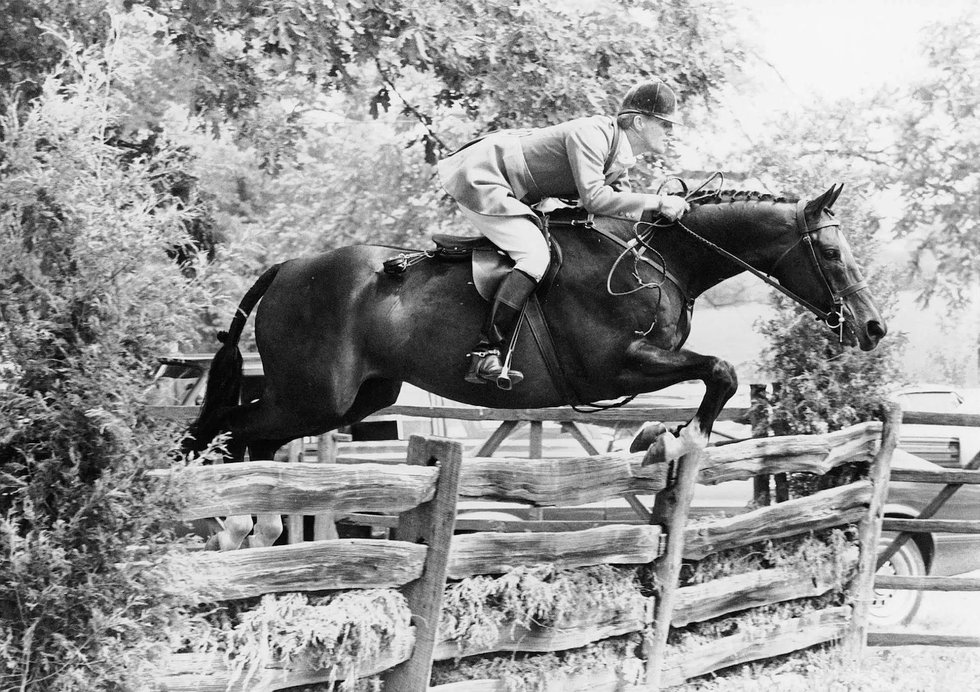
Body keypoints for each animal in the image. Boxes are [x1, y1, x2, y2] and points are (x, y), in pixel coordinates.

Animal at [186, 183, 886, 548]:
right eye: (831, 251)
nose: (873, 328)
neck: (663, 260)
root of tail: (288, 268)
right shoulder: (615, 367)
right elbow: (720, 371)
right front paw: (676, 437)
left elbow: (714, 374)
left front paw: (657, 436)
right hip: (315, 394)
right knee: (215, 433)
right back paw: (221, 521)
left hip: (360, 398)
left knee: (251, 441)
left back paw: (252, 527)